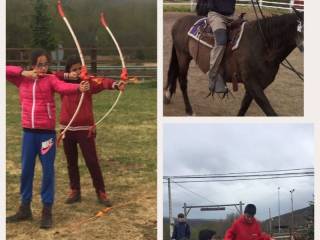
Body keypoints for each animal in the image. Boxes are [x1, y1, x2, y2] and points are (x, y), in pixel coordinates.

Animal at [164, 9, 304, 116]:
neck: (264, 45)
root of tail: (179, 21)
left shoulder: (256, 86)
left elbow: (244, 107)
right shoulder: (252, 83)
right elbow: (269, 111)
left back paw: (168, 96)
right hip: (183, 56)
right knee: (182, 81)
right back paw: (189, 110)